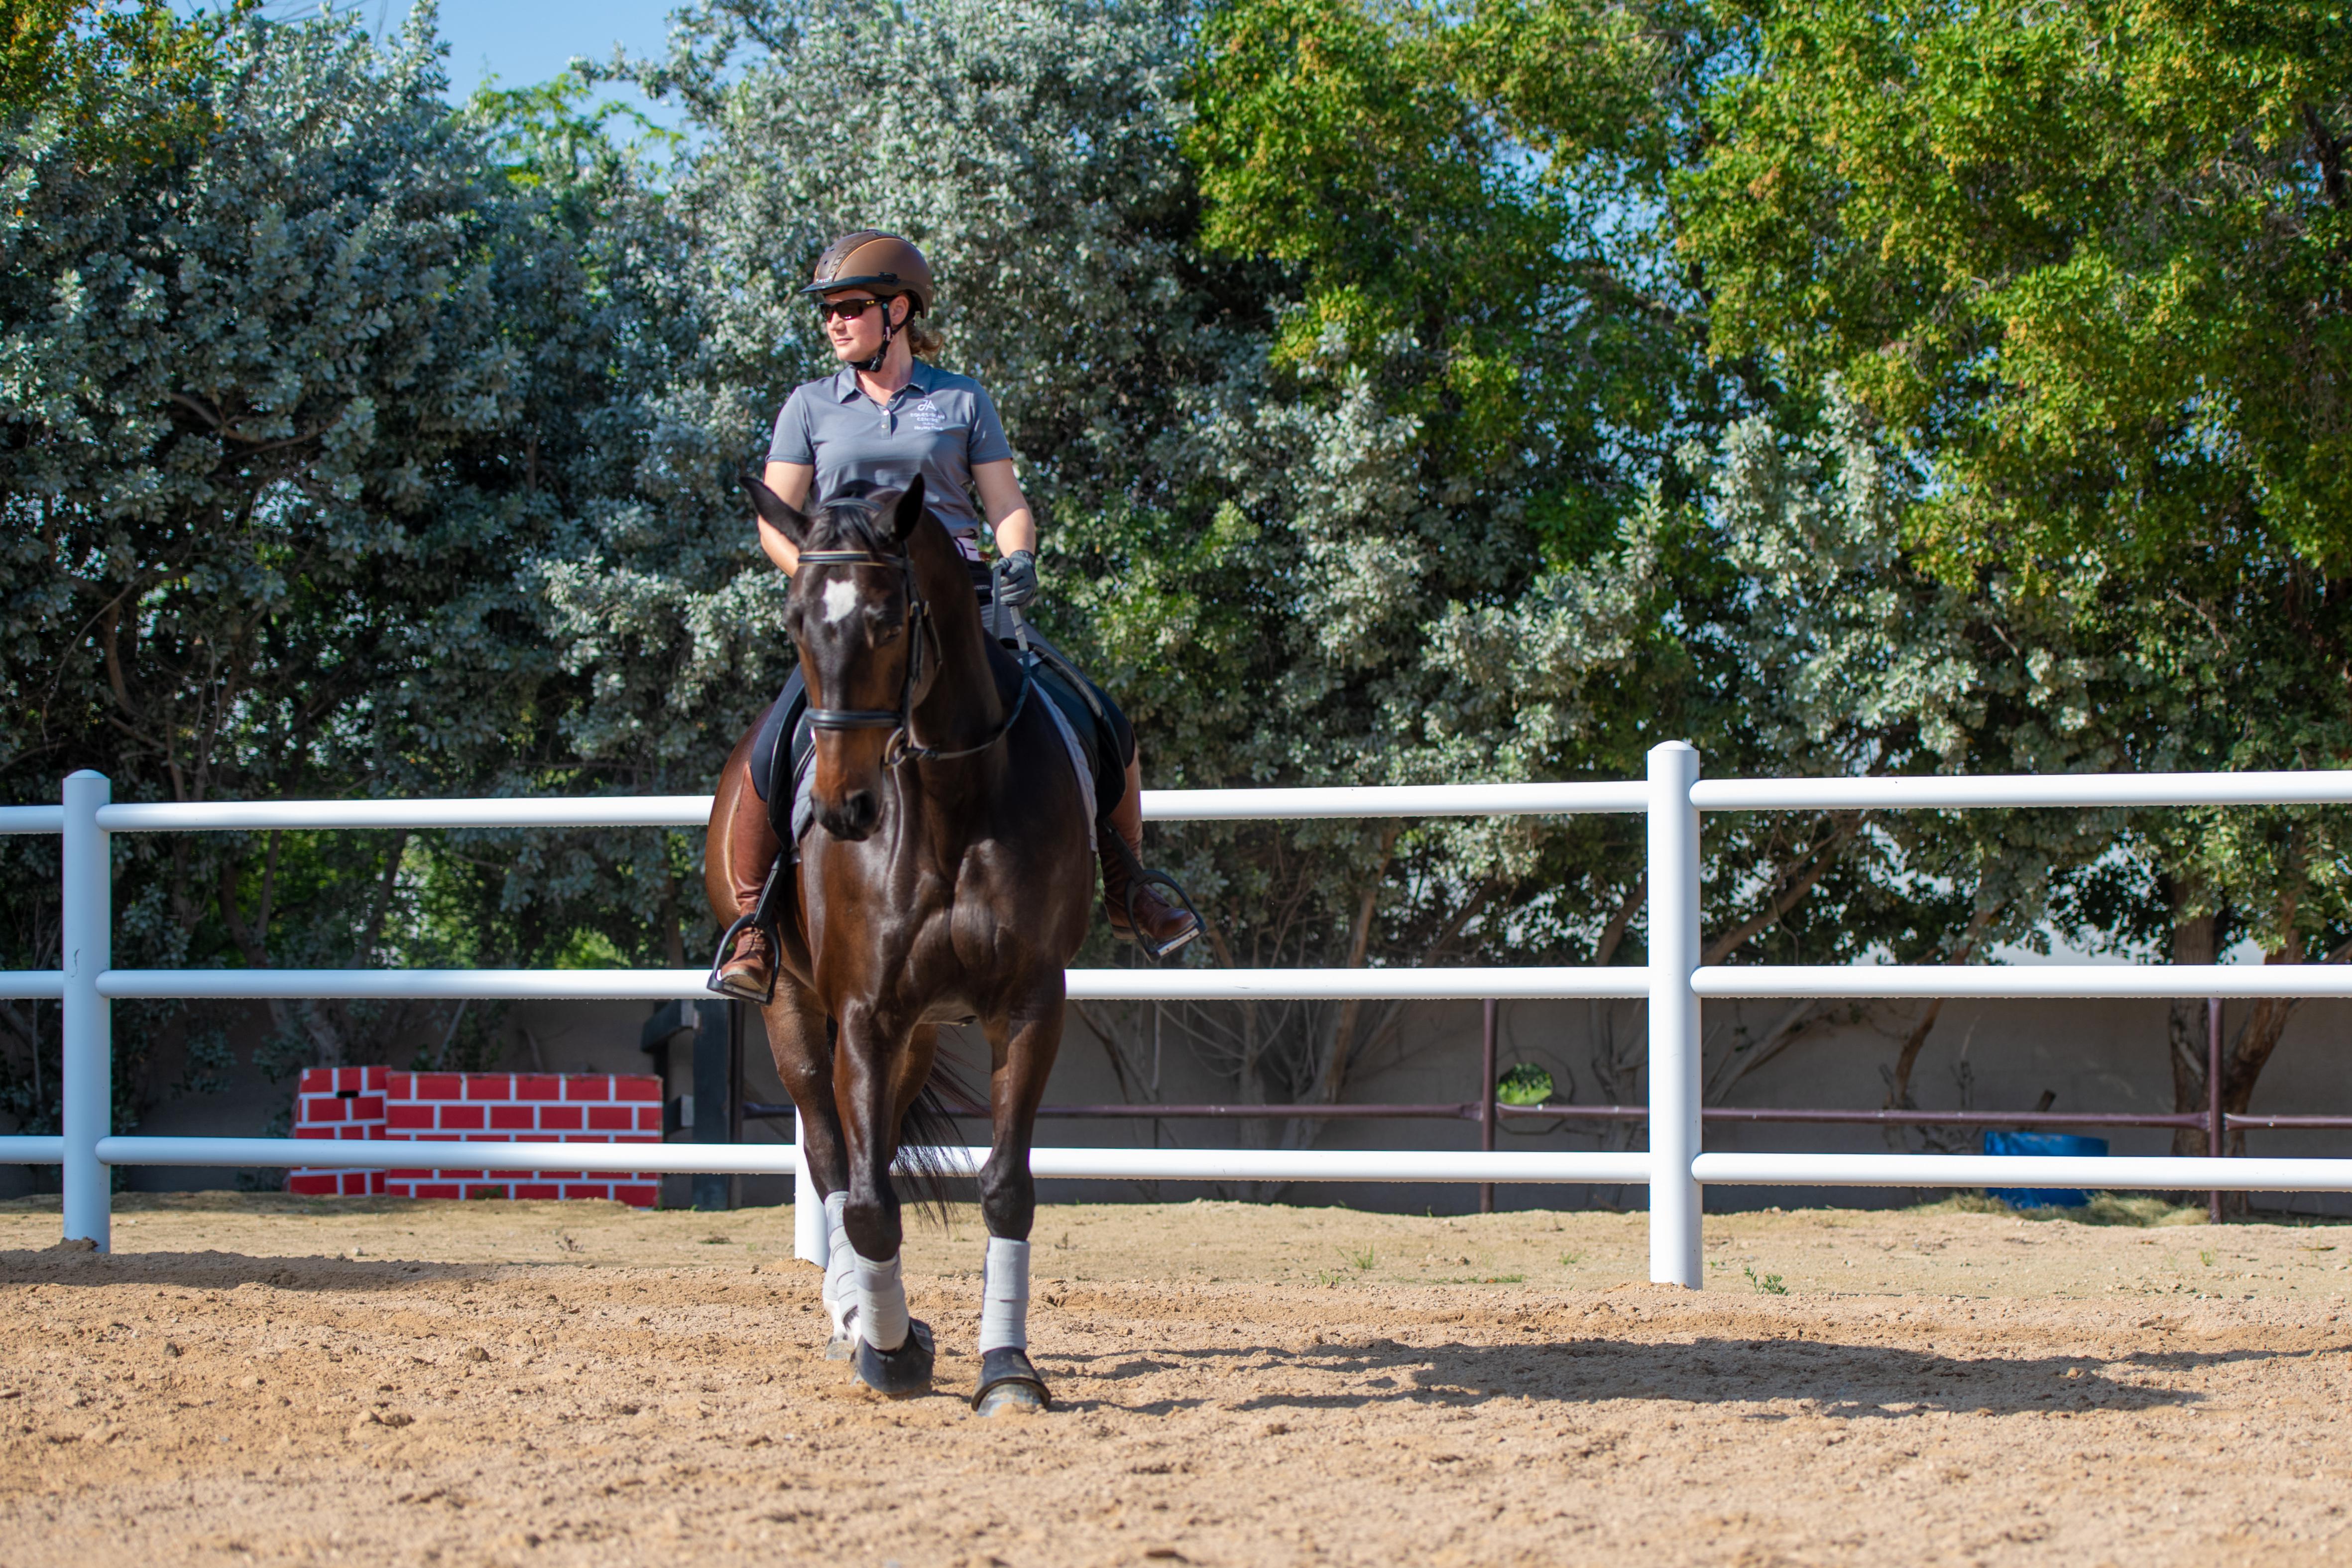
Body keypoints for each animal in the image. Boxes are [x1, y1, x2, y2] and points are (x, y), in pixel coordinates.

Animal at [706, 475, 1091, 1410]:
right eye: (794, 621)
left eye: (888, 620)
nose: (844, 808)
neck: (949, 798)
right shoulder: (863, 1014)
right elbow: (865, 1198)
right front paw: (888, 1353)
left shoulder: (1029, 1004)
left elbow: (1005, 1188)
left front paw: (1007, 1367)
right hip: (794, 1011)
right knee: (830, 1154)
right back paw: (856, 1315)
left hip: (917, 1034)